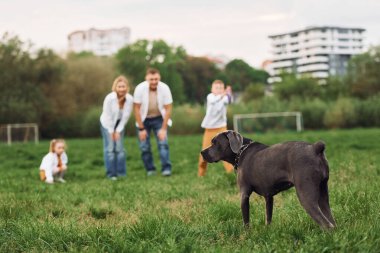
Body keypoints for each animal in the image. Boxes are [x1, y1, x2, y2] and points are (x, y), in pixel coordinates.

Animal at [200, 130, 336, 229]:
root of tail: (315, 148)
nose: (202, 152)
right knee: (332, 221)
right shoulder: (269, 196)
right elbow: (268, 217)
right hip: (323, 193)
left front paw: (247, 235)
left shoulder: (244, 194)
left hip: (305, 194)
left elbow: (246, 220)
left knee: (326, 224)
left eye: (215, 142)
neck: (241, 150)